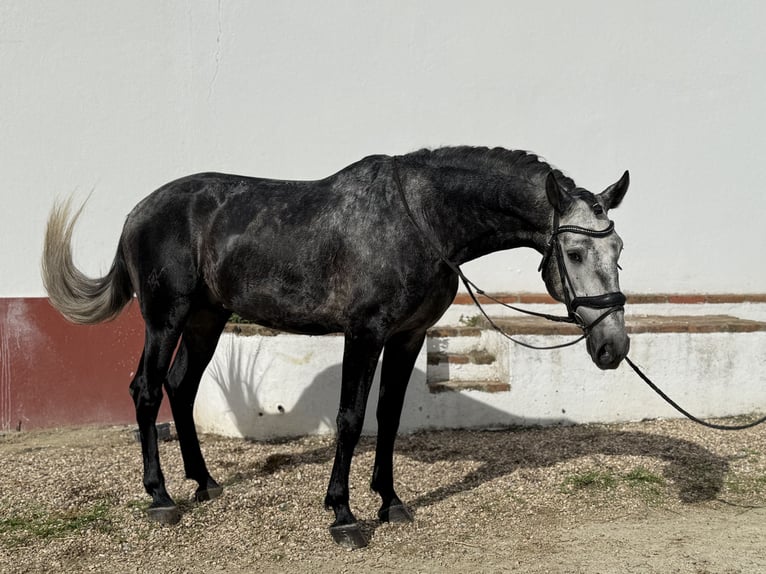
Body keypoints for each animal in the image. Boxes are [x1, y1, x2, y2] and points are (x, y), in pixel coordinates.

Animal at [40, 146, 632, 552]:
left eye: (620, 248)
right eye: (575, 252)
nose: (613, 346)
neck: (421, 219)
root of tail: (138, 211)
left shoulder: (407, 337)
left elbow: (388, 416)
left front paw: (390, 502)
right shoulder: (364, 333)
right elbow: (351, 417)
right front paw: (343, 514)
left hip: (207, 319)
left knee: (180, 387)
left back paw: (205, 483)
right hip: (165, 319)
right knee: (146, 389)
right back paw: (160, 497)